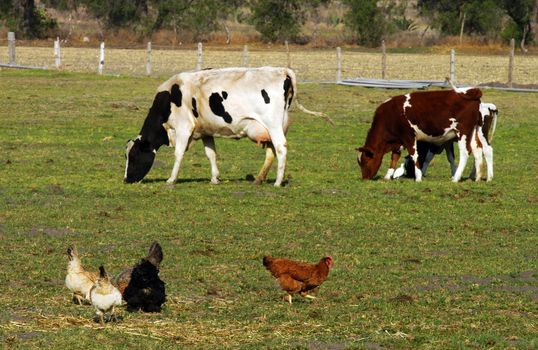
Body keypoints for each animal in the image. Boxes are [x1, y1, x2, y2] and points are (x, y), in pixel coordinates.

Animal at [124, 66, 326, 186]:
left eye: (132, 156)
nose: (126, 179)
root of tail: (281, 70)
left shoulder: (183, 128)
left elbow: (178, 154)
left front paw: (171, 179)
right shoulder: (205, 131)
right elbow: (211, 154)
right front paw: (215, 178)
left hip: (273, 125)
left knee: (281, 148)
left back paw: (277, 181)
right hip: (271, 128)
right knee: (271, 152)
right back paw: (259, 179)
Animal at [354, 87, 488, 183]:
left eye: (365, 161)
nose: (365, 178)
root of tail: (471, 91)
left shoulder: (409, 136)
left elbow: (414, 155)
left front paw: (418, 177)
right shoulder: (399, 140)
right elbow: (395, 157)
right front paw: (388, 176)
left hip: (462, 132)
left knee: (465, 152)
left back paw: (456, 178)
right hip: (473, 132)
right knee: (477, 150)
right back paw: (477, 178)